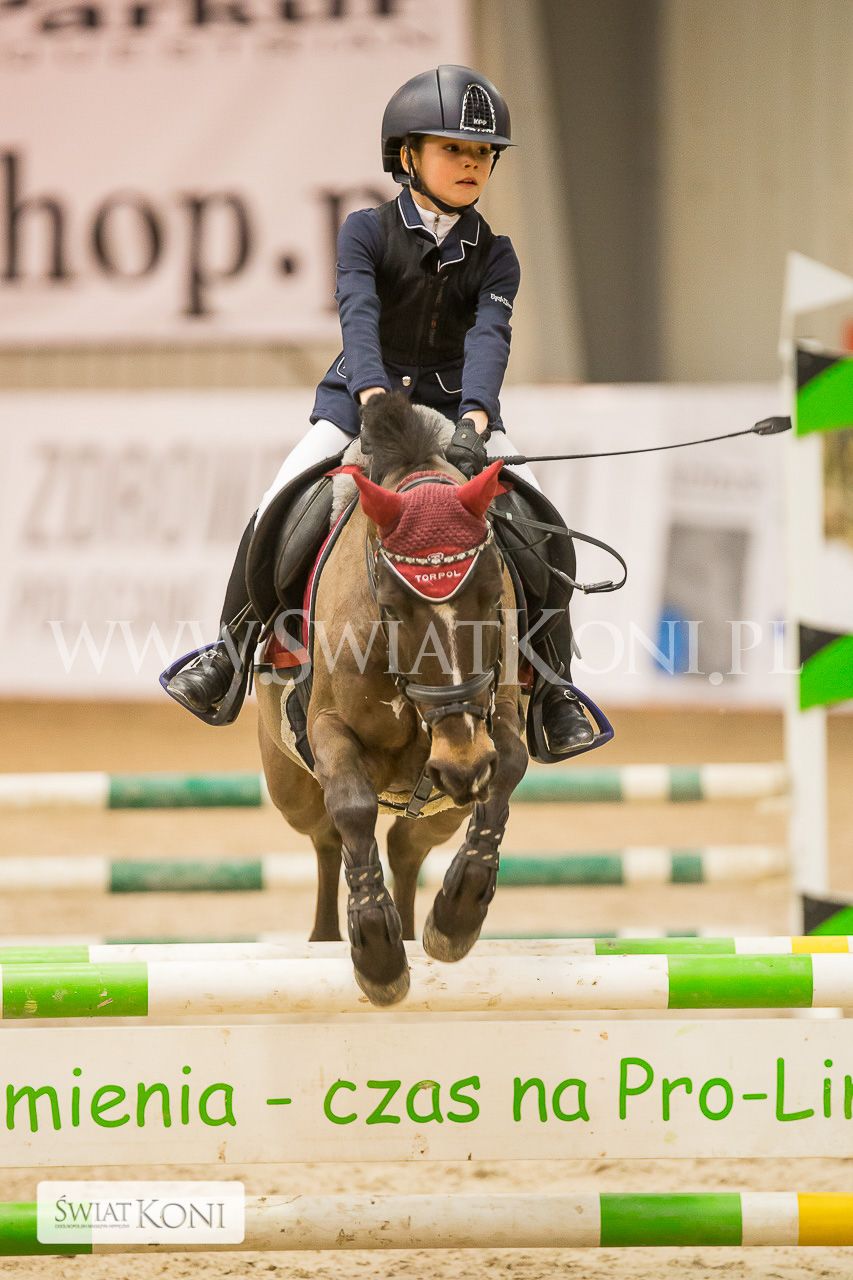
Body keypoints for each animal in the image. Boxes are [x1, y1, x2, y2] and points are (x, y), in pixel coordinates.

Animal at [256, 393, 529, 1006]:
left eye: (492, 595)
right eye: (393, 606)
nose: (461, 765)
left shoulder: (498, 708)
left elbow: (509, 767)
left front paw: (457, 914)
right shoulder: (327, 726)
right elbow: (353, 807)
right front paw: (377, 952)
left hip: (440, 808)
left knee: (407, 844)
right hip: (291, 788)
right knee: (328, 836)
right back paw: (331, 937)